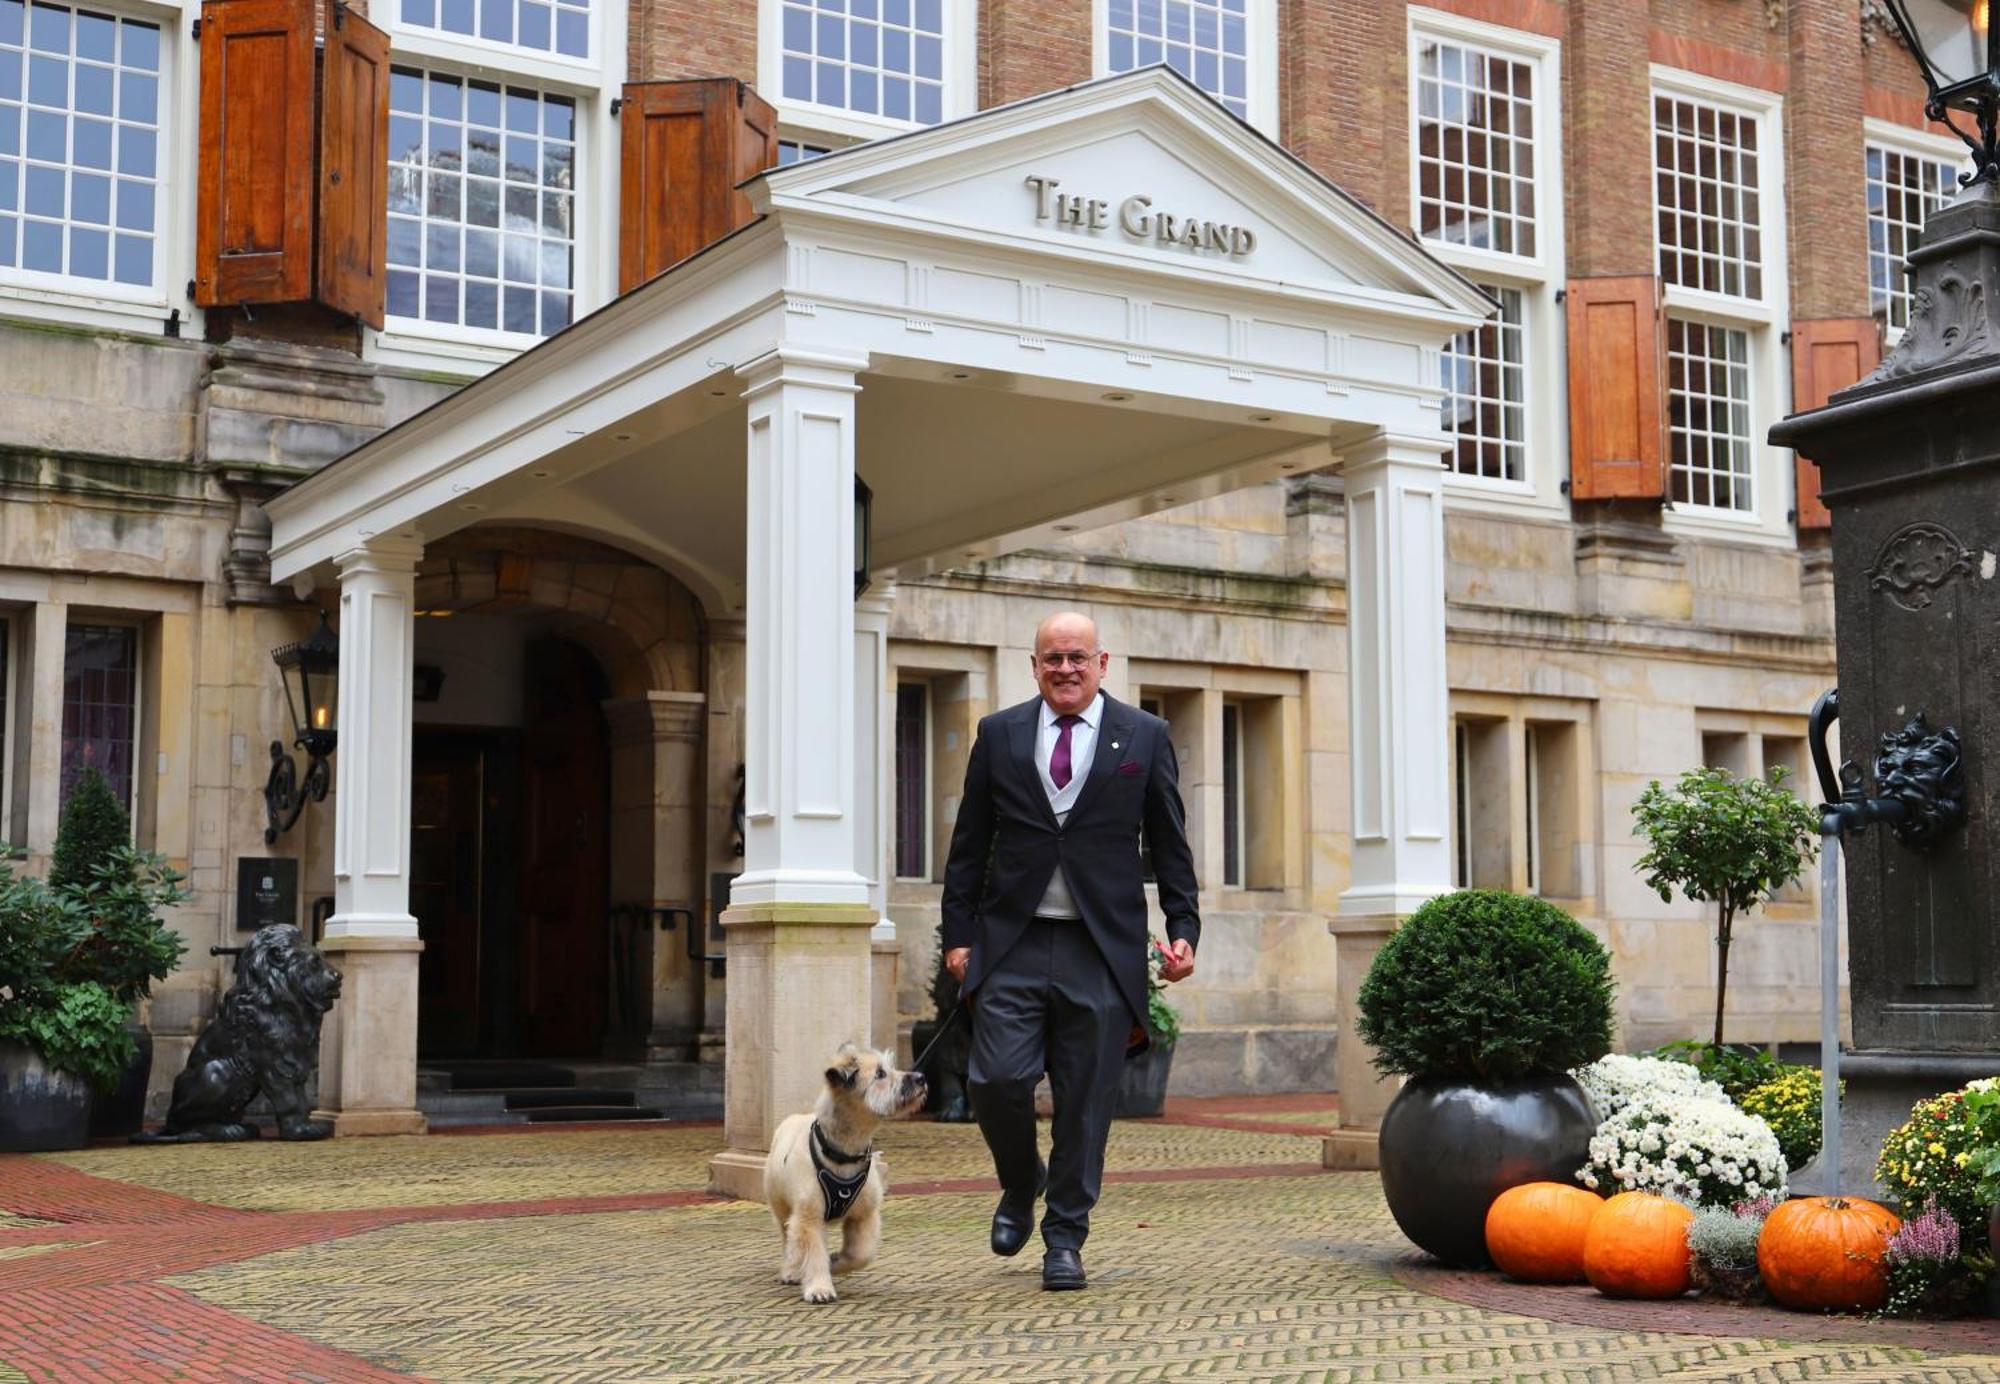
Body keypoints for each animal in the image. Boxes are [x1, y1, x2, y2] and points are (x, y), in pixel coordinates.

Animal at [764, 1040, 928, 1304]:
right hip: (782, 1208)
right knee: (789, 1241)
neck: (844, 1151)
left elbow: (861, 1253)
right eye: (880, 1074)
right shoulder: (809, 1218)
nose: (921, 1078)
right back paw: (791, 1270)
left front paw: (836, 1263)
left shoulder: (864, 1216)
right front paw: (819, 1287)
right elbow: (813, 1253)